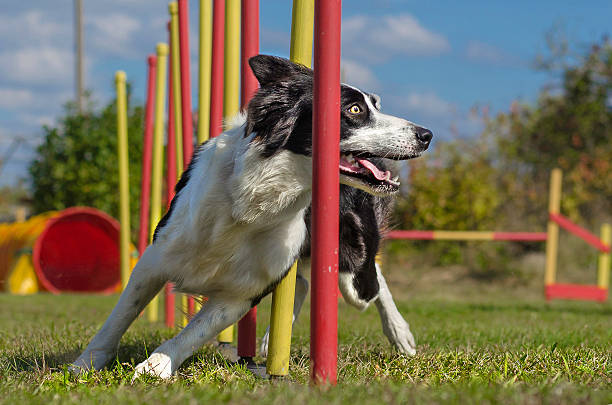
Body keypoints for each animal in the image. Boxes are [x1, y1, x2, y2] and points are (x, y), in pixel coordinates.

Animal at [71, 55, 432, 378]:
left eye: (375, 105)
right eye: (354, 109)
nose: (426, 135)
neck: (257, 198)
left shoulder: (241, 293)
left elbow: (191, 335)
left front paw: (155, 368)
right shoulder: (156, 257)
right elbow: (119, 316)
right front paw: (84, 364)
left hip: (351, 270)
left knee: (372, 278)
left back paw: (400, 334)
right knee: (305, 281)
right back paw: (274, 341)